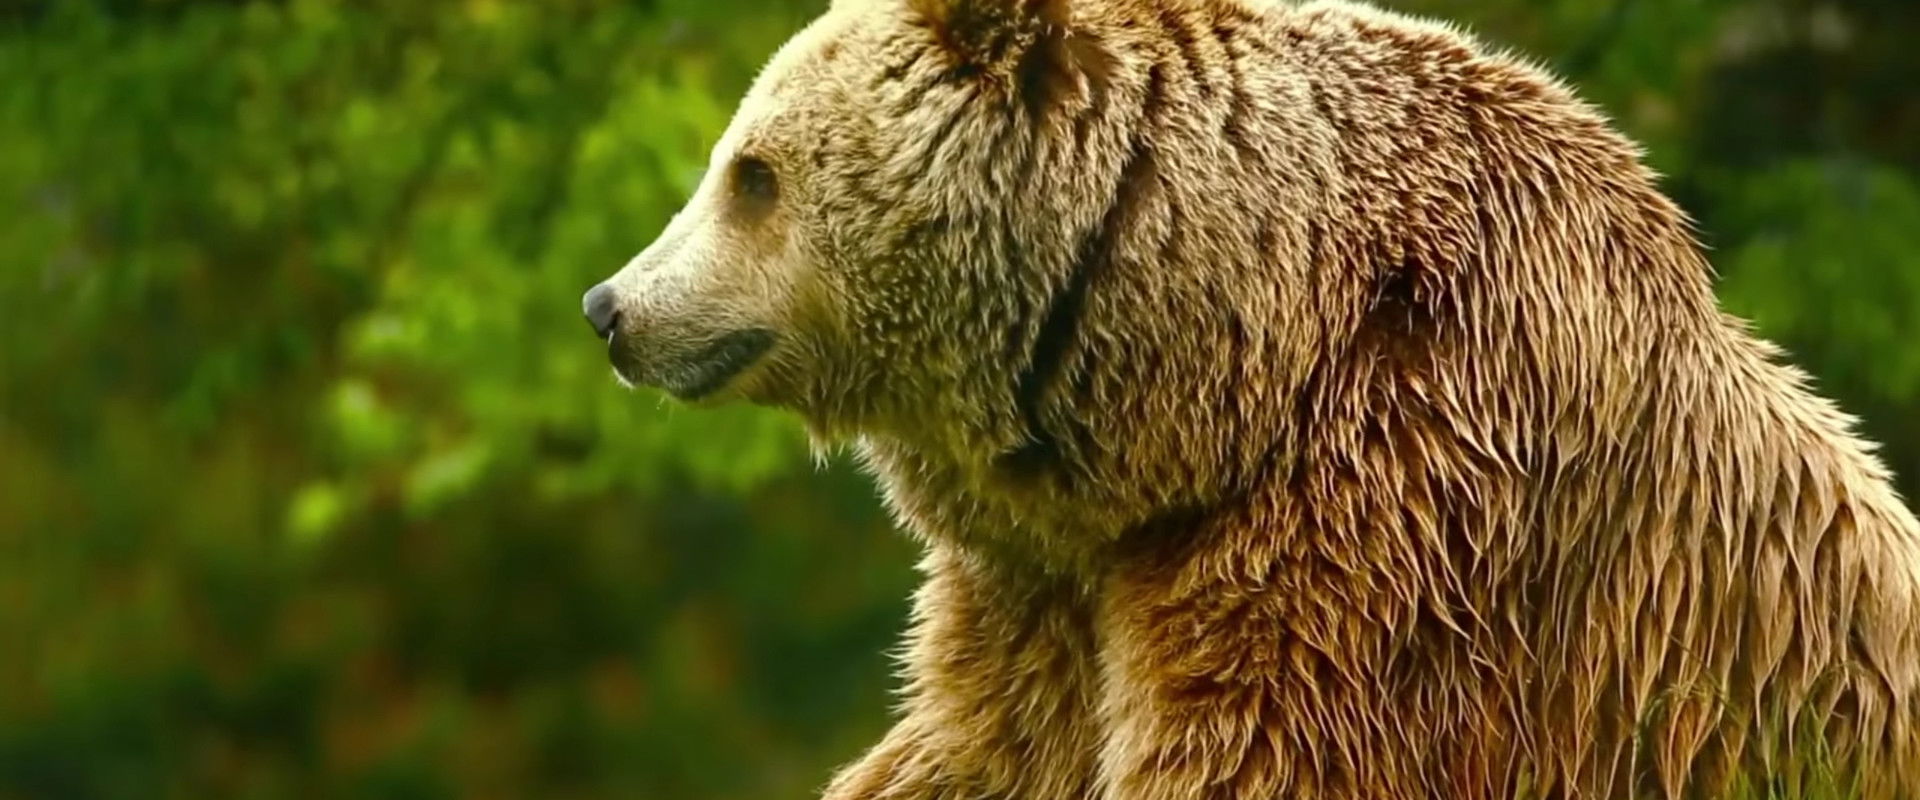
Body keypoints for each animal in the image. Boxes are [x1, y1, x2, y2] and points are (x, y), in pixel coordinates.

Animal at [580, 0, 1920, 797]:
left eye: (751, 172)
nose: (610, 305)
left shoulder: (1397, 518)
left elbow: (1254, 748)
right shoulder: (1046, 576)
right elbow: (977, 742)